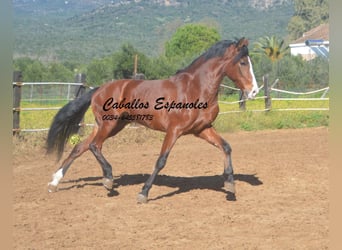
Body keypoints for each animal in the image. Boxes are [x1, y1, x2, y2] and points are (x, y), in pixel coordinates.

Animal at [46, 38, 258, 203]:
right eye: (243, 63)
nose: (254, 91)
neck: (196, 89)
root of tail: (99, 89)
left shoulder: (202, 129)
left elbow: (226, 147)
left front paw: (230, 185)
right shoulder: (174, 130)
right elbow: (161, 161)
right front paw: (144, 193)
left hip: (108, 126)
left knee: (80, 147)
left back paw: (55, 182)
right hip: (109, 124)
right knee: (94, 146)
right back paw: (108, 179)